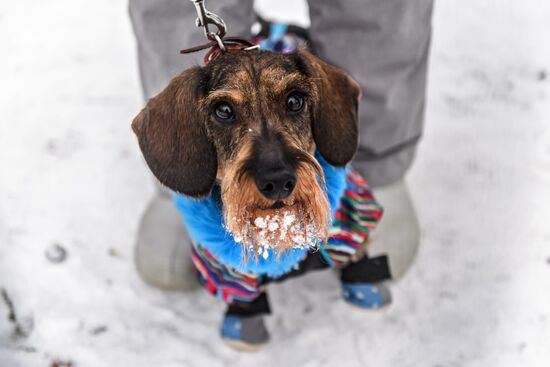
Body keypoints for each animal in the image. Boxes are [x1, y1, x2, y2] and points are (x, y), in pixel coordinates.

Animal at [132, 46, 390, 350]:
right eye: (223, 110)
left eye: (294, 100)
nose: (277, 181)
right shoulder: (223, 268)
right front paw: (243, 323)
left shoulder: (351, 216)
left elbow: (357, 246)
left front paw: (365, 281)